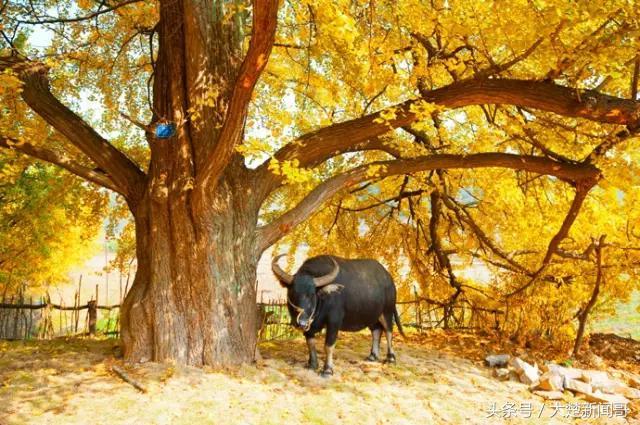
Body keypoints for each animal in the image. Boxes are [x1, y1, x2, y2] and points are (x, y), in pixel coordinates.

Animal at [272, 252, 404, 374]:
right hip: (372, 315)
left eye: (312, 294)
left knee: (388, 331)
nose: (301, 323)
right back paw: (372, 356)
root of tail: (389, 279)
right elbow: (310, 343)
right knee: (376, 331)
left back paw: (390, 358)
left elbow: (328, 345)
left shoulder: (334, 322)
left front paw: (327, 370)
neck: (323, 299)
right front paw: (312, 364)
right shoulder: (310, 325)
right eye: (292, 292)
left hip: (387, 312)